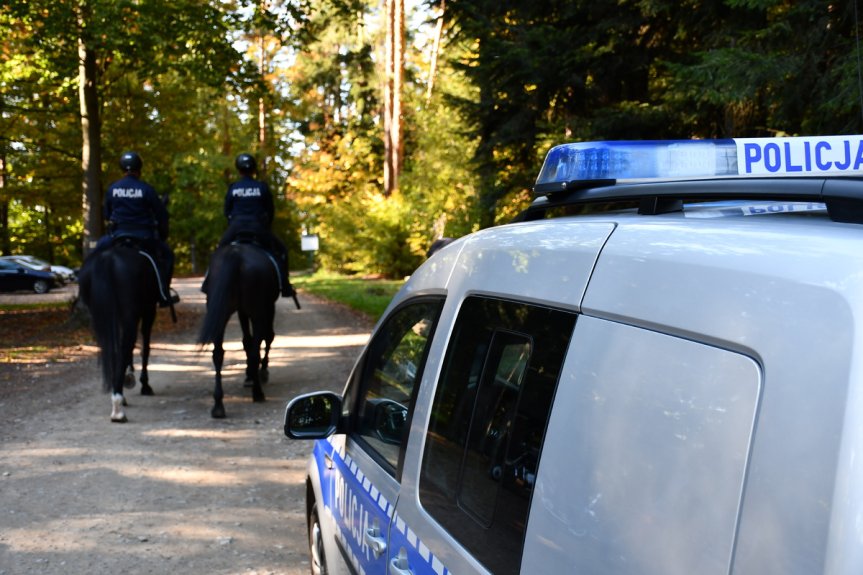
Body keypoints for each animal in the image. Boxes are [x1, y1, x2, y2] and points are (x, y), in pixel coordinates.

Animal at [78, 238, 166, 424]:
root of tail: (108, 259)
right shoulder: (148, 312)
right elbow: (144, 348)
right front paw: (143, 384)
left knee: (114, 348)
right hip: (133, 313)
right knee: (126, 346)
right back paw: (118, 407)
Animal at [197, 242, 278, 418]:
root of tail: (236, 254)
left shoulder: (242, 311)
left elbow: (246, 341)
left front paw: (249, 376)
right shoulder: (267, 308)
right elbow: (266, 338)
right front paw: (260, 372)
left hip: (221, 312)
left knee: (218, 354)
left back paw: (218, 405)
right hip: (258, 312)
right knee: (256, 350)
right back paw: (258, 393)